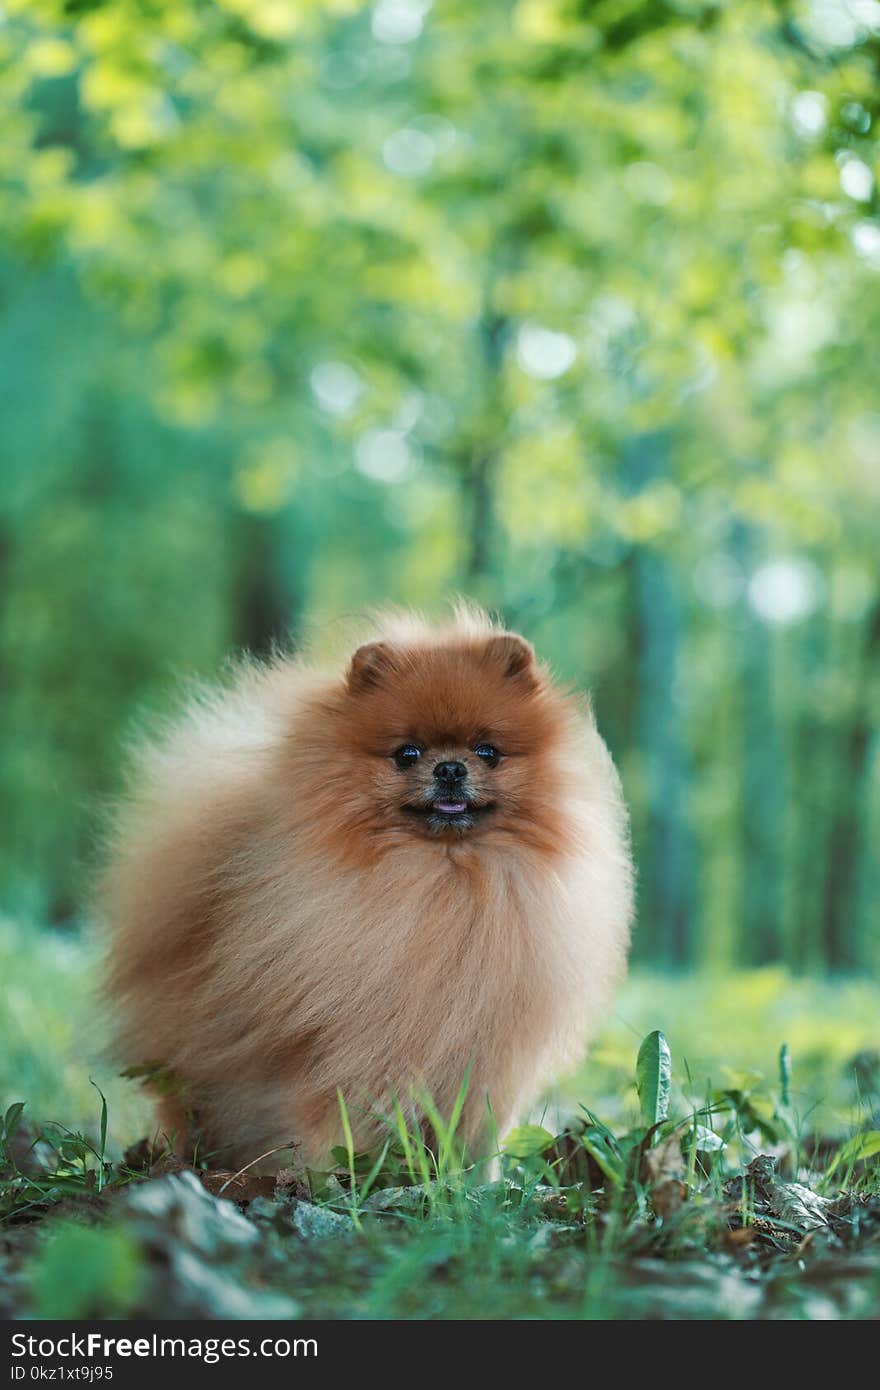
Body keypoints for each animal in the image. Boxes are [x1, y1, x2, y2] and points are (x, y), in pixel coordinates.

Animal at [102, 608, 631, 1173]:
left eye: (487, 752)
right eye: (407, 754)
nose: (450, 768)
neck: (443, 883)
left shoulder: (485, 1057)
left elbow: (477, 1131)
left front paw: (473, 1181)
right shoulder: (335, 1052)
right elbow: (329, 1123)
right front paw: (333, 1179)